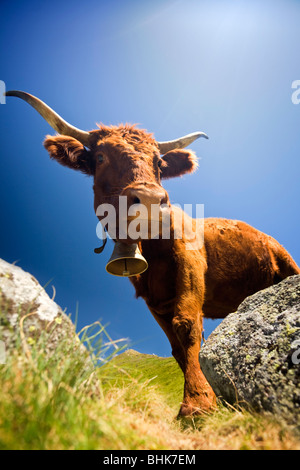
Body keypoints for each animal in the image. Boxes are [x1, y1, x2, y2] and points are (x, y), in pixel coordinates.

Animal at [5, 91, 300, 414]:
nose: (148, 198)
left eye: (159, 162)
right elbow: (176, 349)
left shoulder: (191, 268)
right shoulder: (152, 298)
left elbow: (186, 325)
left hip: (288, 264)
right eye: (100, 157)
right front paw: (199, 398)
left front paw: (198, 403)